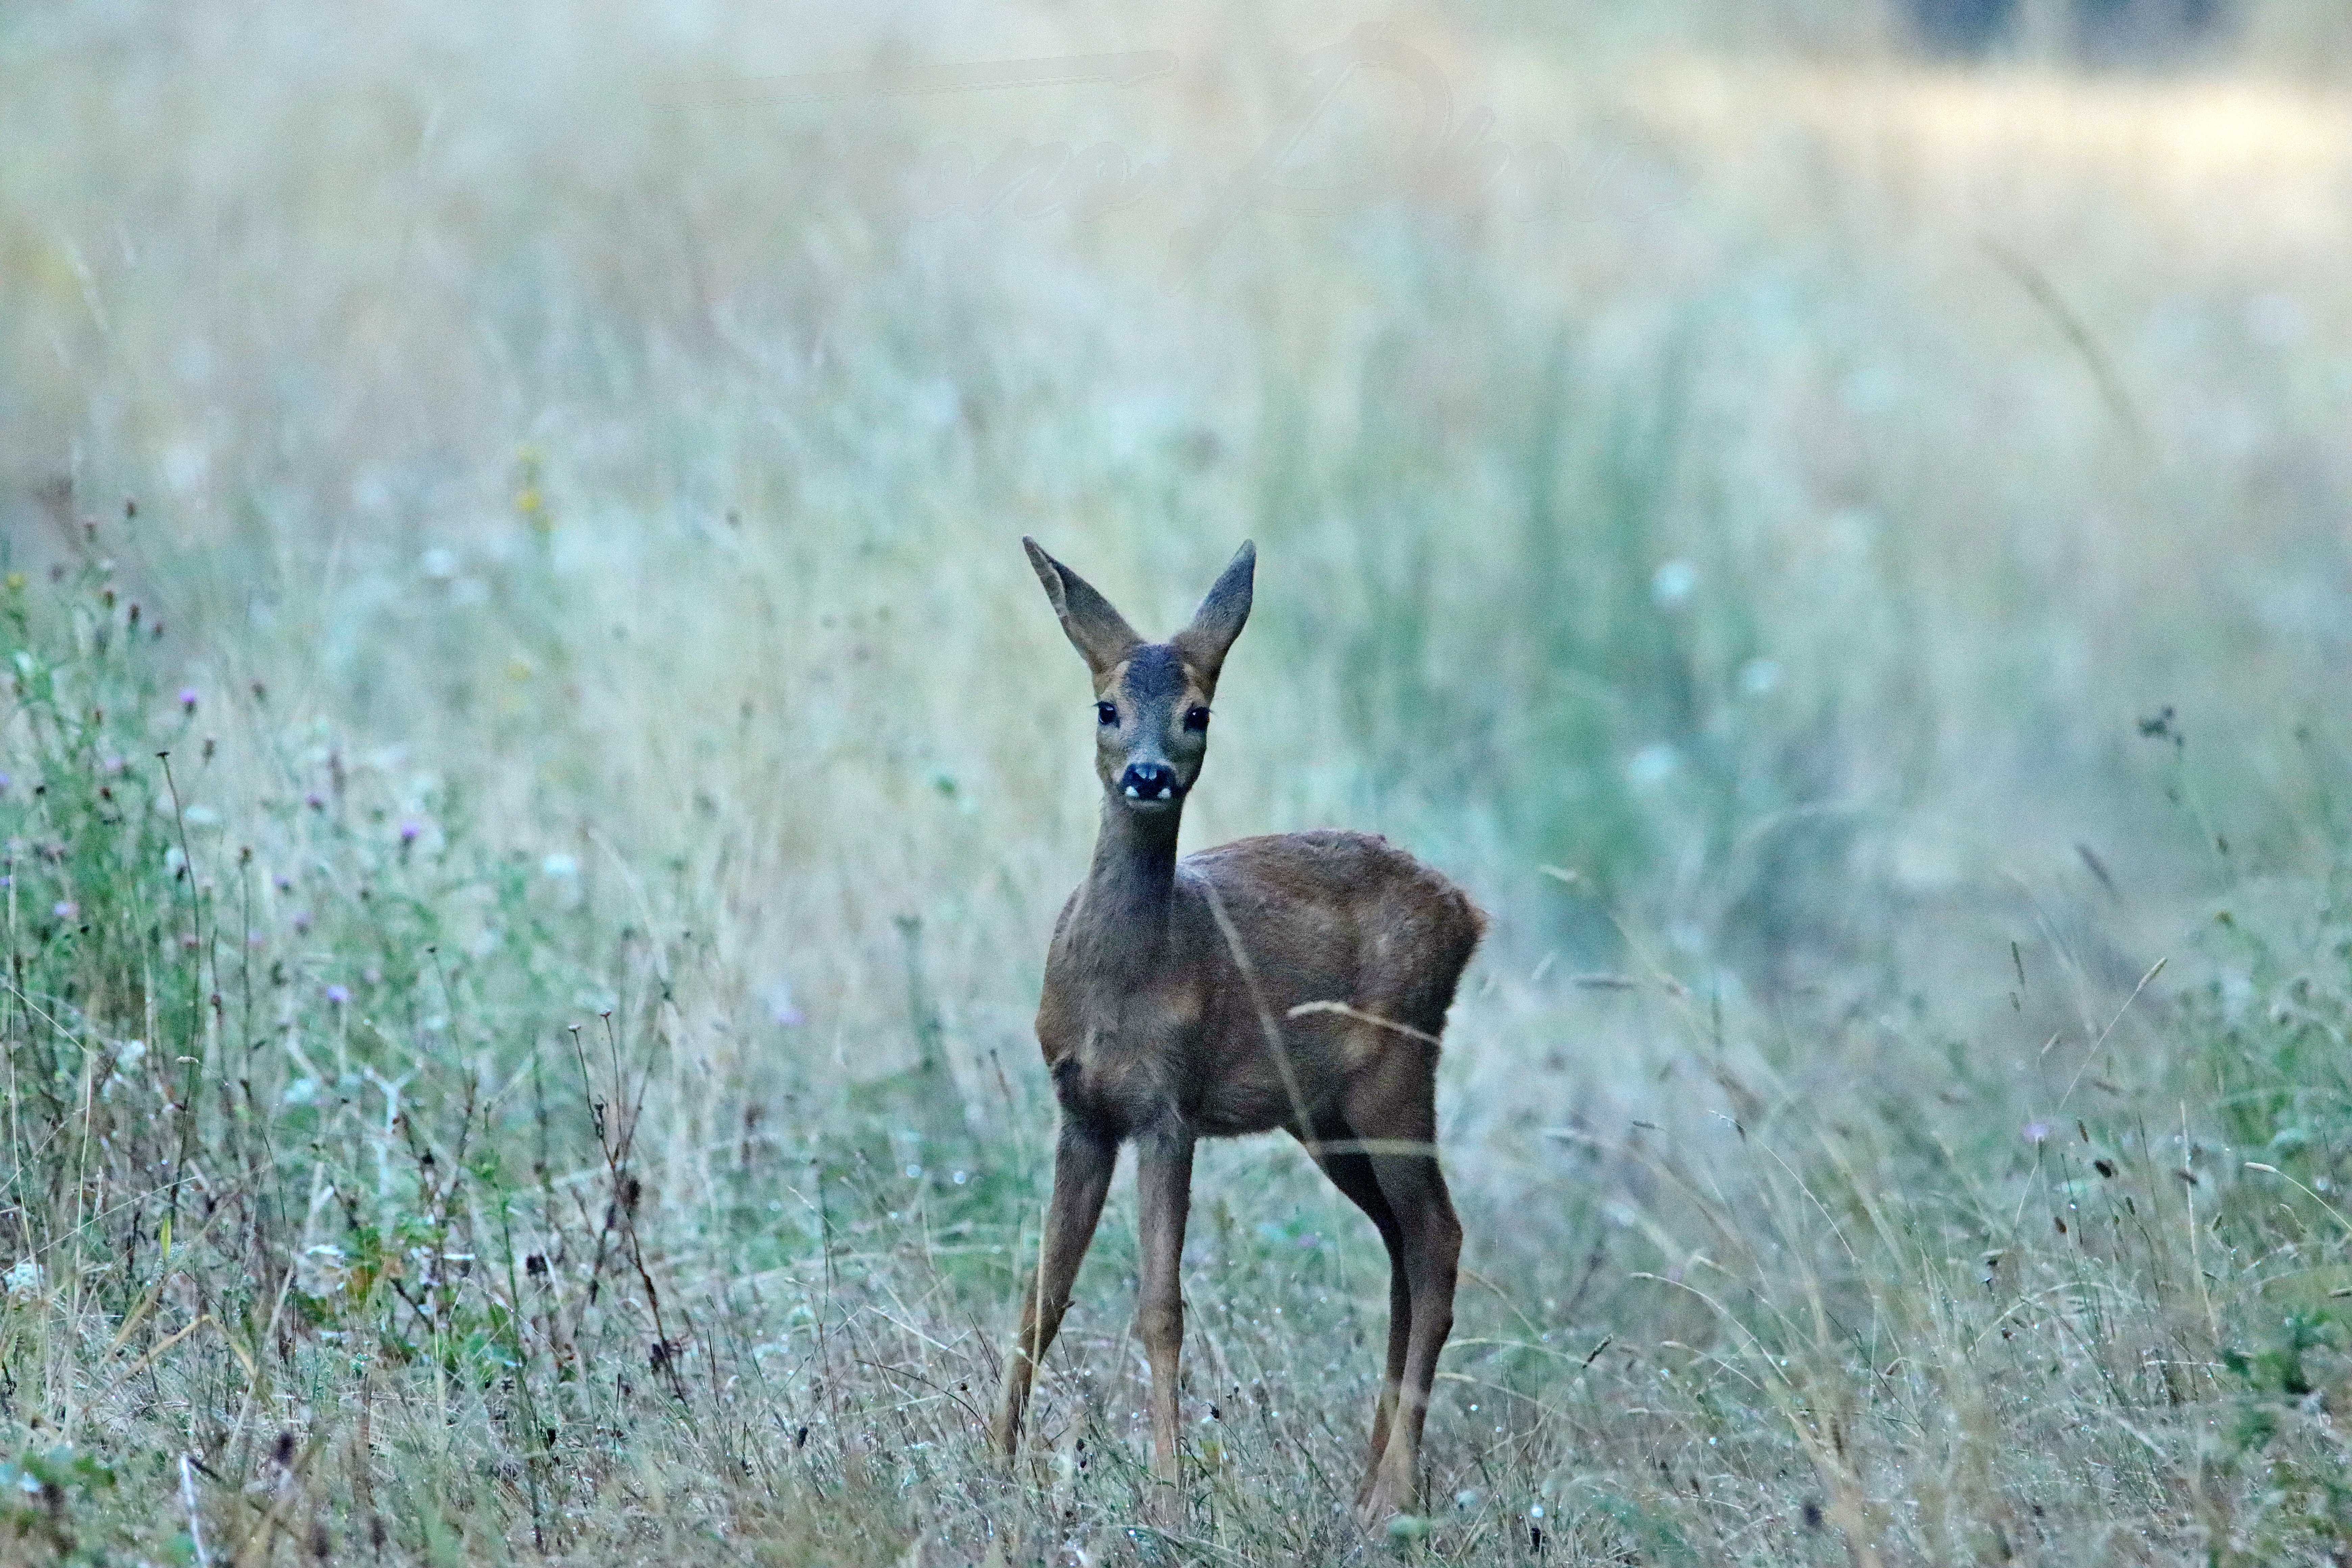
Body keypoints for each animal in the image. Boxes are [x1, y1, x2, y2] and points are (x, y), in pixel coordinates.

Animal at [997, 536, 1486, 1523]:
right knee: (1402, 1246)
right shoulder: (1081, 1108)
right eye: (1106, 706)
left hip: (1399, 1073)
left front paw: (1169, 1500)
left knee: (1438, 1239)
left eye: (1198, 711)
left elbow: (1160, 1306)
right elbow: (1043, 1293)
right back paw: (1365, 1481)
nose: (1148, 774)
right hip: (1324, 1118)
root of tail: (1469, 913)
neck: (1123, 985)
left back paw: (1394, 1491)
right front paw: (989, 1467)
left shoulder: (1168, 1106)